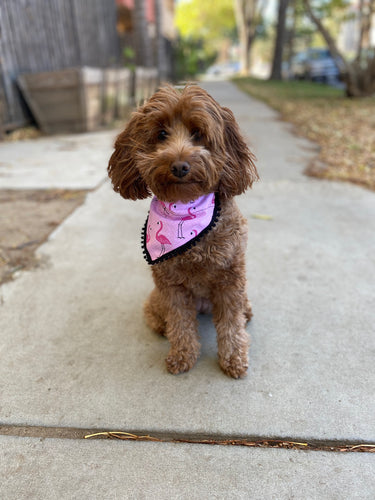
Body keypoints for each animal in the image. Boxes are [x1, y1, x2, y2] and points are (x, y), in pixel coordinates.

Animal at [107, 84, 258, 376]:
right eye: (161, 134)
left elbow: (231, 322)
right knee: (160, 317)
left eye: (198, 133)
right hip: (156, 301)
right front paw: (182, 355)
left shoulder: (230, 277)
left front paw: (234, 358)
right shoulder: (170, 284)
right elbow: (180, 323)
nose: (179, 166)